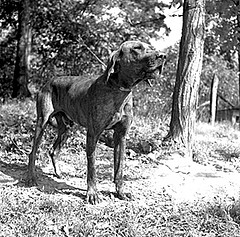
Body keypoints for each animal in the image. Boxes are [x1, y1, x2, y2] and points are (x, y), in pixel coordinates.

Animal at [26, 40, 165, 204]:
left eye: (150, 47)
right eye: (137, 48)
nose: (163, 55)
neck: (118, 89)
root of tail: (49, 81)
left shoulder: (121, 136)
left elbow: (119, 169)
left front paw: (121, 192)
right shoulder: (93, 135)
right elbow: (91, 167)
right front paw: (92, 193)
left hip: (66, 128)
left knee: (53, 150)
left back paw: (58, 173)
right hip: (42, 123)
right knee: (33, 152)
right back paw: (31, 178)